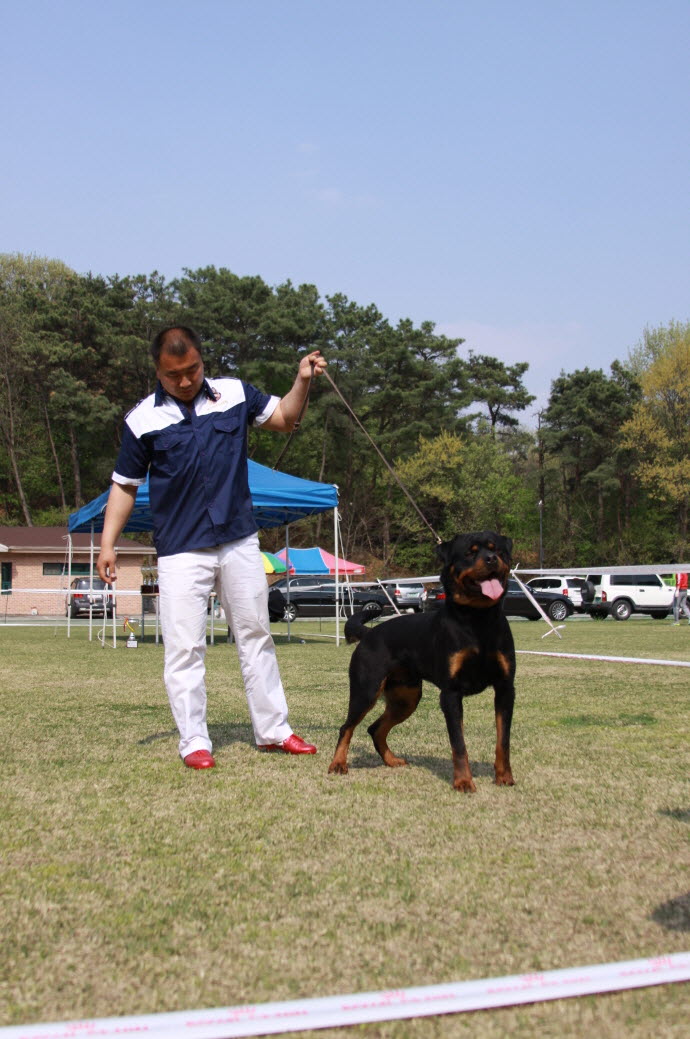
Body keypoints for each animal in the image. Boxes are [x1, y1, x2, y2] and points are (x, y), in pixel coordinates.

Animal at [327, 532, 515, 792]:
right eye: (470, 552)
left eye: (497, 550)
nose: (491, 559)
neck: (478, 620)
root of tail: (369, 633)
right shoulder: (451, 693)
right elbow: (459, 743)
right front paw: (463, 782)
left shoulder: (505, 687)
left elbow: (503, 740)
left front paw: (504, 777)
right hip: (366, 690)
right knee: (347, 727)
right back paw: (338, 764)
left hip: (406, 697)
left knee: (375, 728)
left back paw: (391, 760)